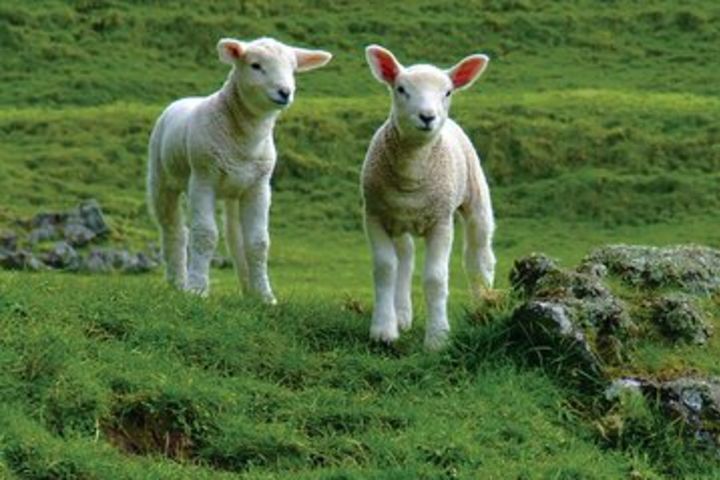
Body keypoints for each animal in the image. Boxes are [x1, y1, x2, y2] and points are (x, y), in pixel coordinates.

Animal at [150, 37, 334, 300]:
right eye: (255, 65)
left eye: (293, 69)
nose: (285, 92)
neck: (245, 141)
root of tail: (183, 100)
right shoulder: (203, 178)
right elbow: (205, 234)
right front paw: (197, 290)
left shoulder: (259, 187)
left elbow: (257, 243)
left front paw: (265, 296)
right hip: (161, 179)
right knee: (173, 229)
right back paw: (177, 283)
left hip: (234, 190)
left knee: (234, 236)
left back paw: (248, 289)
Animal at [360, 45, 496, 350]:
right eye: (401, 89)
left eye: (448, 92)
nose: (427, 116)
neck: (411, 177)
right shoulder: (374, 215)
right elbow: (385, 269)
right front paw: (383, 330)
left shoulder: (441, 221)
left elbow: (435, 279)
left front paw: (437, 338)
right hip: (399, 221)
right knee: (405, 258)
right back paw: (401, 315)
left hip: (476, 197)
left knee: (479, 256)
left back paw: (484, 307)